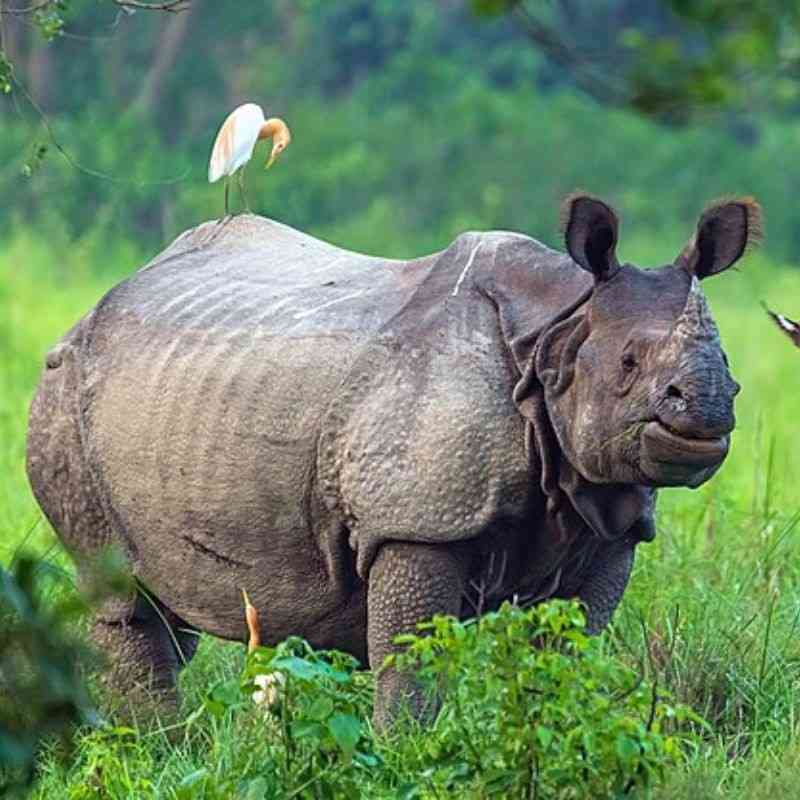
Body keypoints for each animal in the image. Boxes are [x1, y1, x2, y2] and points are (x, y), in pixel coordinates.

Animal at [26, 194, 760, 725]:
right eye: (629, 365)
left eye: (728, 361)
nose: (708, 407)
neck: (559, 329)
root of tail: (101, 300)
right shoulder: (417, 520)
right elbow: (410, 661)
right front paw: (407, 754)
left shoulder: (608, 522)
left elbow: (563, 655)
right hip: (62, 395)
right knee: (123, 593)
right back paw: (158, 745)